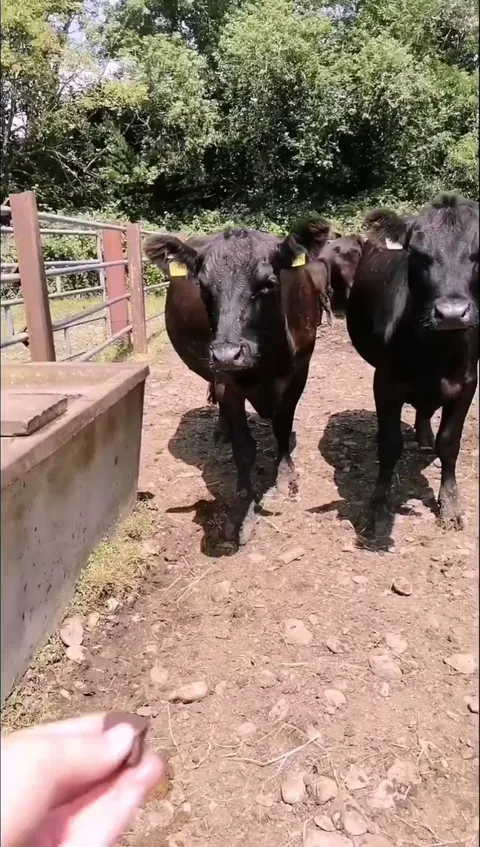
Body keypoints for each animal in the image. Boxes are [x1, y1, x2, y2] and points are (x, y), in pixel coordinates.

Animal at [144, 219, 332, 544]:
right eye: (204, 287)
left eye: (267, 283)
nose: (226, 354)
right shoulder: (226, 383)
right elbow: (244, 449)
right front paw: (242, 508)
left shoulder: (299, 374)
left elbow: (283, 428)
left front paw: (285, 476)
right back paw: (222, 431)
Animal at [346, 194, 479, 542]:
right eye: (417, 255)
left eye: (478, 252)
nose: (451, 313)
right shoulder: (385, 382)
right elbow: (390, 444)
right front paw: (377, 508)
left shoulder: (467, 384)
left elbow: (449, 442)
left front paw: (450, 505)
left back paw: (424, 437)